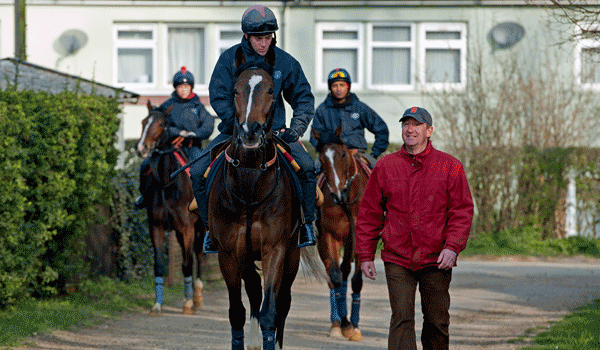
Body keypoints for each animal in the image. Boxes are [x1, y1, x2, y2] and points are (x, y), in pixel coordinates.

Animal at [138, 100, 207, 314]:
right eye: (144, 121)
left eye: (161, 124)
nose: (141, 148)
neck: (167, 182)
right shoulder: (157, 227)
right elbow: (159, 264)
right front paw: (157, 303)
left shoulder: (187, 228)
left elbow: (187, 263)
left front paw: (188, 303)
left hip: (200, 227)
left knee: (199, 255)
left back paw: (197, 297)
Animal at [205, 52, 322, 350]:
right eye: (235, 90)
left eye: (271, 90)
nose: (250, 131)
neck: (250, 186)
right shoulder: (229, 253)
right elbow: (238, 311)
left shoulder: (275, 249)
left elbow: (270, 310)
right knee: (254, 293)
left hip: (292, 255)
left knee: (282, 302)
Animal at [312, 124, 368, 340]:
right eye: (321, 158)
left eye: (343, 154)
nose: (337, 192)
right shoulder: (328, 236)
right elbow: (336, 277)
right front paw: (344, 324)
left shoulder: (359, 237)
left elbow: (356, 279)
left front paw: (354, 325)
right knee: (333, 275)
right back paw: (336, 324)